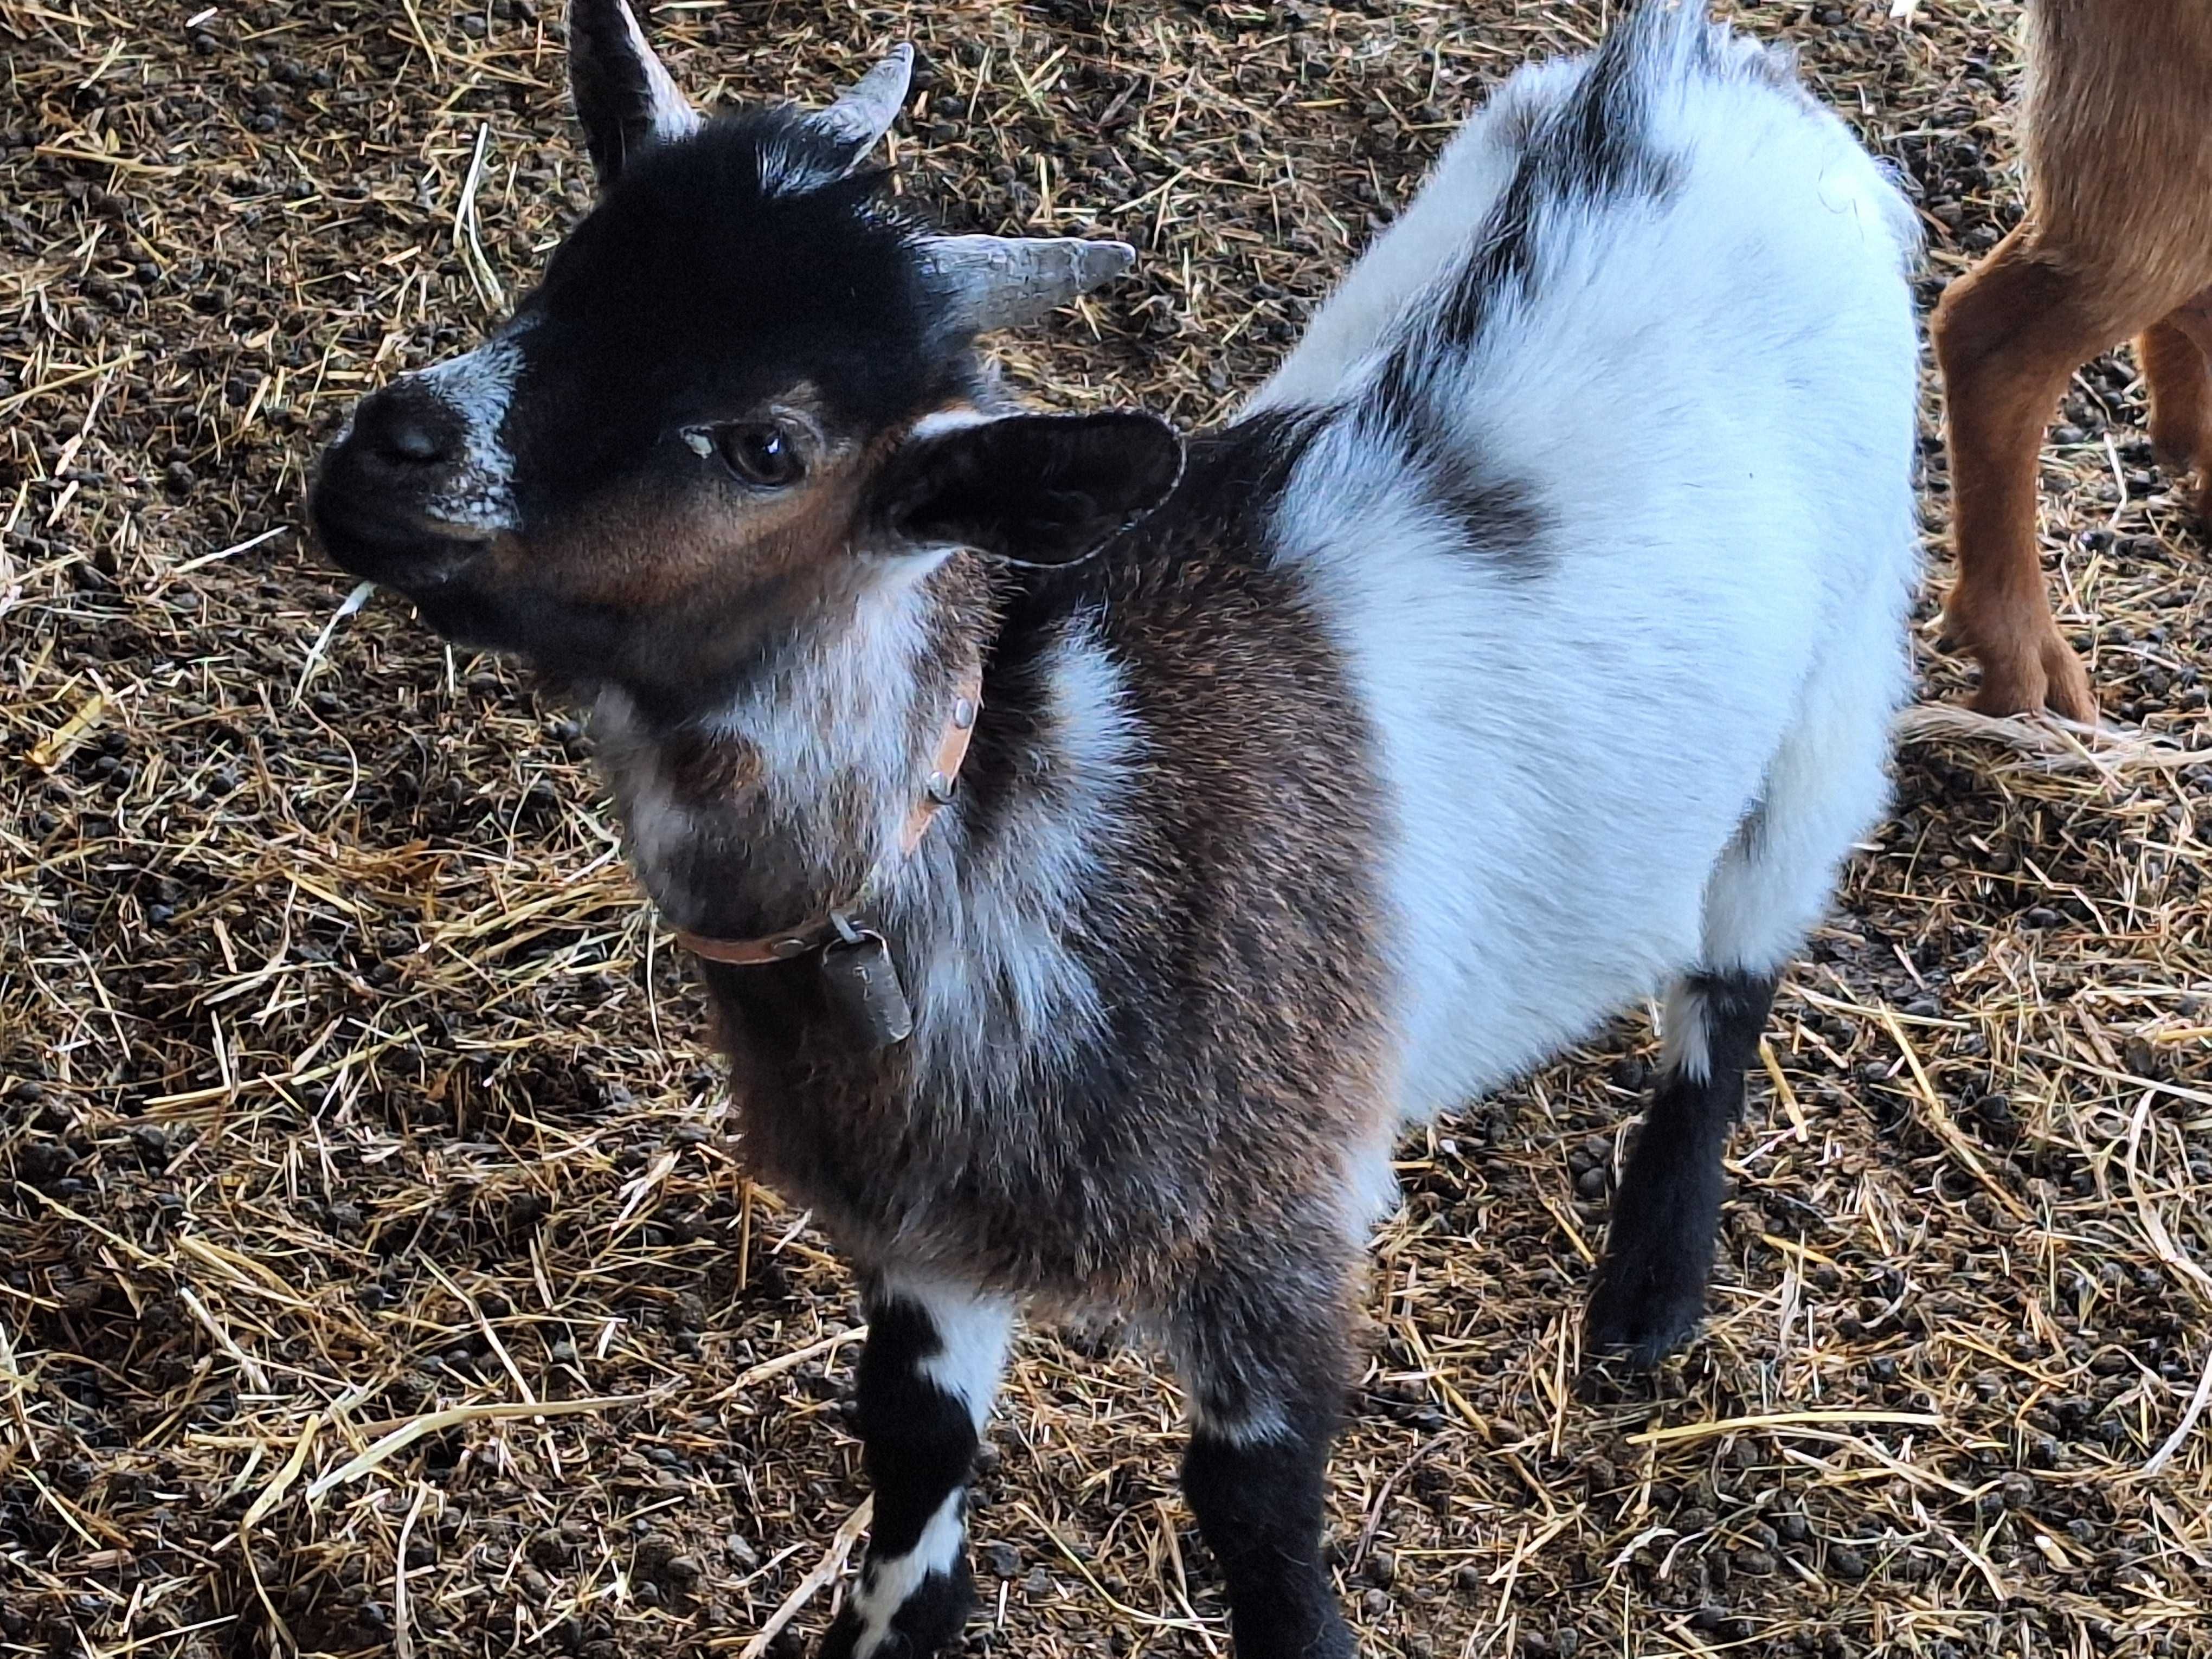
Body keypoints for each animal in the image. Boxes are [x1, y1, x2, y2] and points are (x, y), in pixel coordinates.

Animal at [312, 6, 1920, 1654]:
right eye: (565, 269)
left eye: (767, 446)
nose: (387, 450)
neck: (999, 809)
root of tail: (1690, 58)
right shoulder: (924, 1232)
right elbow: (912, 1444)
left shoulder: (1277, 1229)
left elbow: (1256, 1522)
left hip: (1839, 677)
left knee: (1737, 969)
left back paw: (1647, 1299)